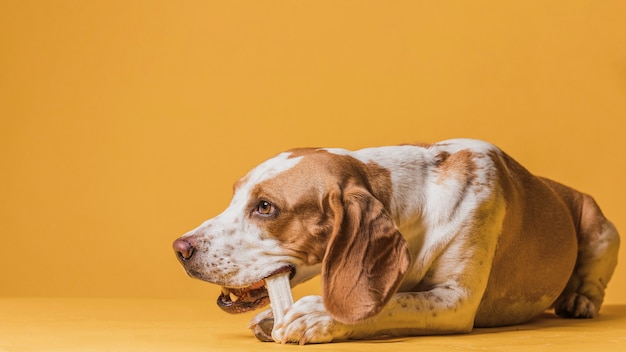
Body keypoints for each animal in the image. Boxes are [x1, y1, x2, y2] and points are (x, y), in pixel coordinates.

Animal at [173, 138, 616, 344]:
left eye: (265, 207)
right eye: (235, 195)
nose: (180, 248)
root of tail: (559, 188)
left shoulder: (454, 300)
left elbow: (392, 304)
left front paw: (316, 316)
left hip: (604, 229)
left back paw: (579, 299)